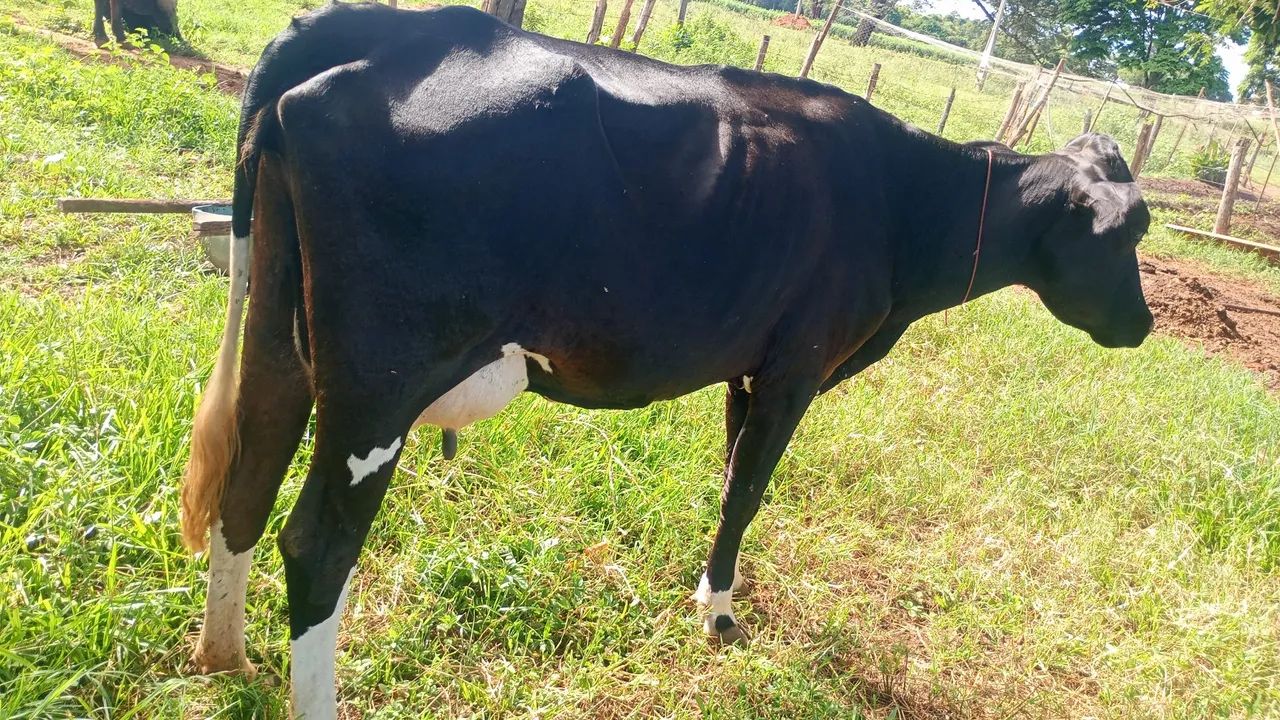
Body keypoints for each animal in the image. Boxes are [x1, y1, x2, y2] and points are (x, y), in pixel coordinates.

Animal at [178, 4, 1152, 718]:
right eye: (1125, 233)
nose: (1145, 325)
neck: (900, 203)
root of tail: (373, 27)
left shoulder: (748, 367)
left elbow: (727, 480)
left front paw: (711, 589)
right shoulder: (797, 367)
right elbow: (749, 489)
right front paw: (719, 615)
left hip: (280, 339)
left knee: (247, 480)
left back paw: (225, 658)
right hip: (380, 381)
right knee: (317, 543)